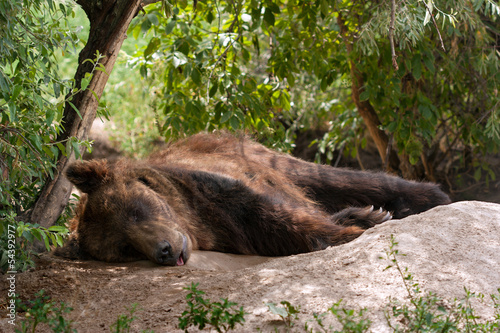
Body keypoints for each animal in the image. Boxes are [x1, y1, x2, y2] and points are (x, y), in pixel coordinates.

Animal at [53, 132, 450, 264]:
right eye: (125, 248)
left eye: (136, 211)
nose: (163, 251)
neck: (195, 223)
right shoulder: (233, 232)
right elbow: (283, 230)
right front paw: (358, 222)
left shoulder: (214, 190)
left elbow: (270, 212)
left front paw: (366, 221)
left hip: (262, 158)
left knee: (337, 179)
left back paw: (428, 195)